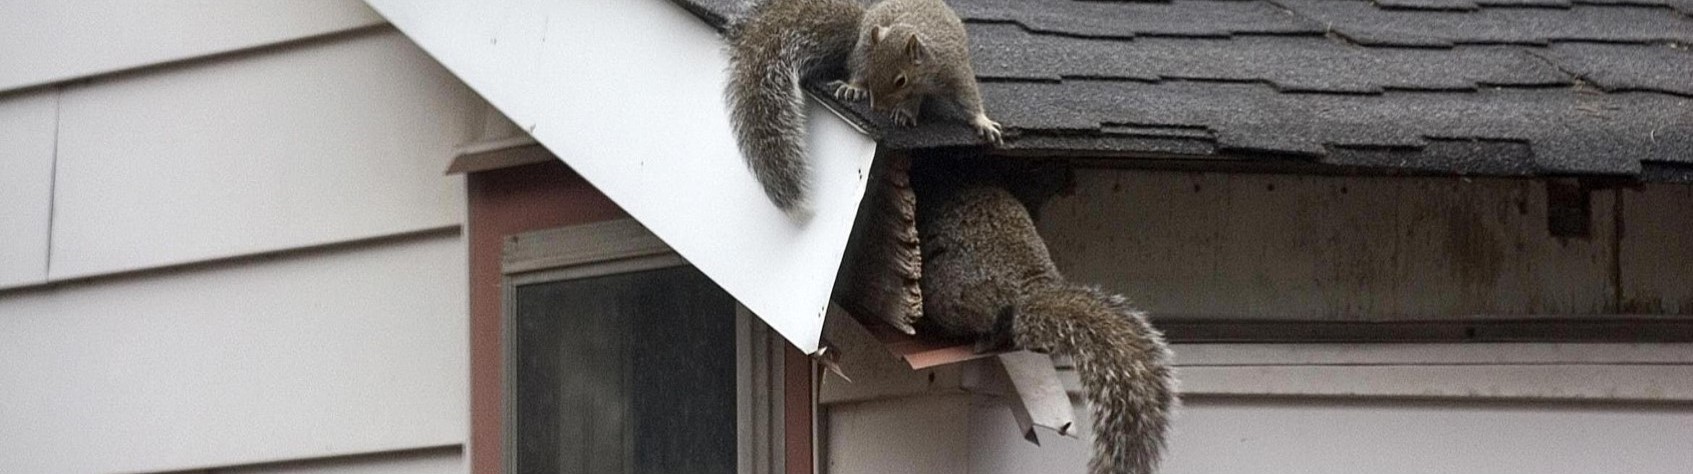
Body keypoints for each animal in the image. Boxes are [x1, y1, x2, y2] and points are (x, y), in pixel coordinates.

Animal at [726, 0, 1003, 215]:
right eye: (873, 70)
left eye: (900, 79)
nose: (877, 107)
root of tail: (862, 25)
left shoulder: (954, 68)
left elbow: (968, 96)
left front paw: (983, 122)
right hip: (863, 46)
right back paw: (854, 88)